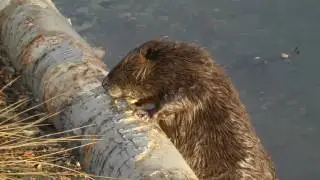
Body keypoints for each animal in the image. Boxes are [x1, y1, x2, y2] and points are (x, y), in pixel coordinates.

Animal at [102, 40, 278, 179]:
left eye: (122, 65)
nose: (104, 83)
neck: (178, 62)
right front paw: (138, 104)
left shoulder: (195, 81)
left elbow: (178, 100)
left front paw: (143, 112)